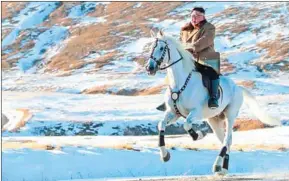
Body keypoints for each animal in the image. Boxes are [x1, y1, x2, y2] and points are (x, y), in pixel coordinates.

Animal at [145, 30, 280, 175]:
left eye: (161, 48)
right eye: (151, 47)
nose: (149, 68)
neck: (180, 83)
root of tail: (238, 87)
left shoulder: (196, 112)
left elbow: (186, 125)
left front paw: (199, 135)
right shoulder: (173, 113)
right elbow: (161, 124)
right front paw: (165, 155)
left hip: (230, 115)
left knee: (227, 139)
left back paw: (217, 166)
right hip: (214, 120)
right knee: (226, 141)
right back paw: (223, 168)